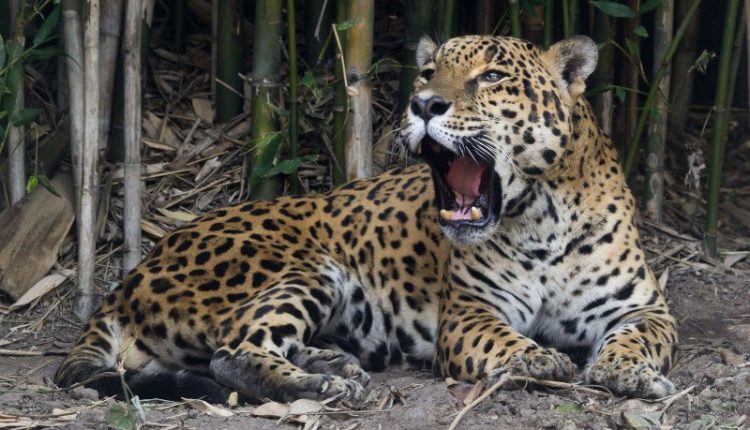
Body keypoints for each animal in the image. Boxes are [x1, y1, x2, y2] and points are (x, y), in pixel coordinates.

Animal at [55, 34, 677, 405]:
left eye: (492, 77)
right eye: (427, 72)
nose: (423, 104)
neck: (540, 217)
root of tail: (128, 279)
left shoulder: (643, 307)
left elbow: (639, 338)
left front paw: (626, 371)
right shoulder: (470, 314)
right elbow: (506, 341)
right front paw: (541, 357)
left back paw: (336, 361)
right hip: (306, 269)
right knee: (232, 352)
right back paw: (327, 382)